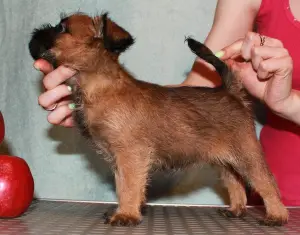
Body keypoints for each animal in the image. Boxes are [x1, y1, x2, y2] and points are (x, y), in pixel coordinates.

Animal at [28, 11, 288, 227]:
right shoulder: (120, 160)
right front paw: (124, 210)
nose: (34, 33)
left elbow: (130, 186)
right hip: (224, 160)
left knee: (266, 182)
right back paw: (236, 209)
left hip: (246, 155)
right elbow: (122, 186)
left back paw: (277, 215)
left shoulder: (131, 155)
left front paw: (126, 215)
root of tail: (230, 92)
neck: (99, 87)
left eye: (61, 28)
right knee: (235, 182)